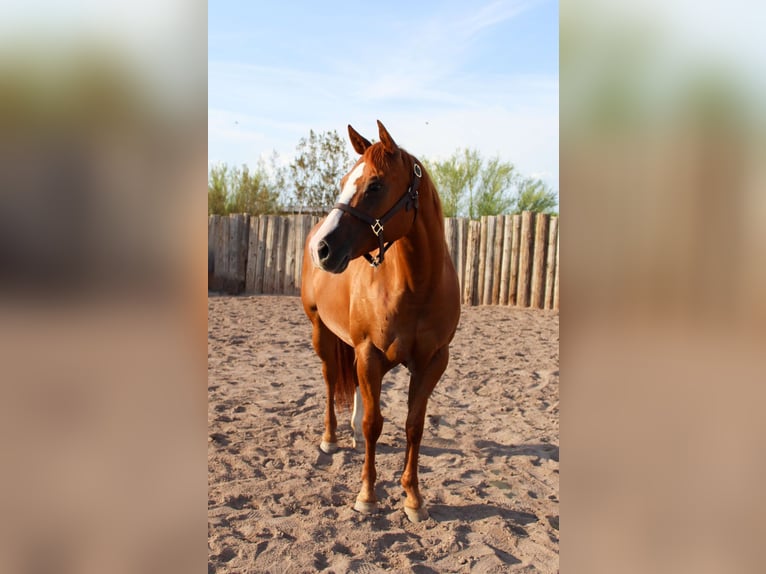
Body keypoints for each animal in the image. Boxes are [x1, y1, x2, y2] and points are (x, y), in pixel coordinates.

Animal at [301, 120, 461, 522]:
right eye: (345, 181)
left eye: (374, 185)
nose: (323, 249)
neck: (416, 285)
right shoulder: (369, 352)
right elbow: (375, 424)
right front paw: (367, 494)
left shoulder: (432, 361)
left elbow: (414, 426)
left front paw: (413, 498)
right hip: (322, 334)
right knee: (330, 380)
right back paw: (331, 438)